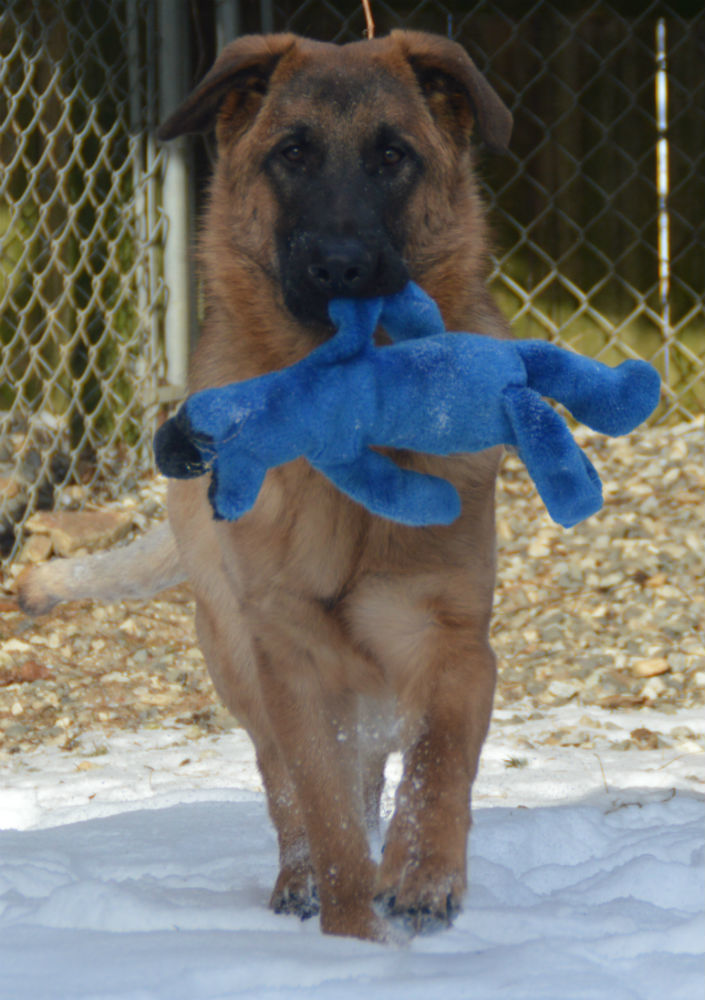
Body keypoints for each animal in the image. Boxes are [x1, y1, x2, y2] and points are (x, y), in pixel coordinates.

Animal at [17, 29, 512, 936]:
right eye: (292, 154)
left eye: (394, 156)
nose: (341, 267)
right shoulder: (291, 667)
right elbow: (326, 819)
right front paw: (352, 935)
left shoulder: (452, 643)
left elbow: (437, 762)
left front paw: (424, 873)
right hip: (240, 666)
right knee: (289, 795)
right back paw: (301, 885)